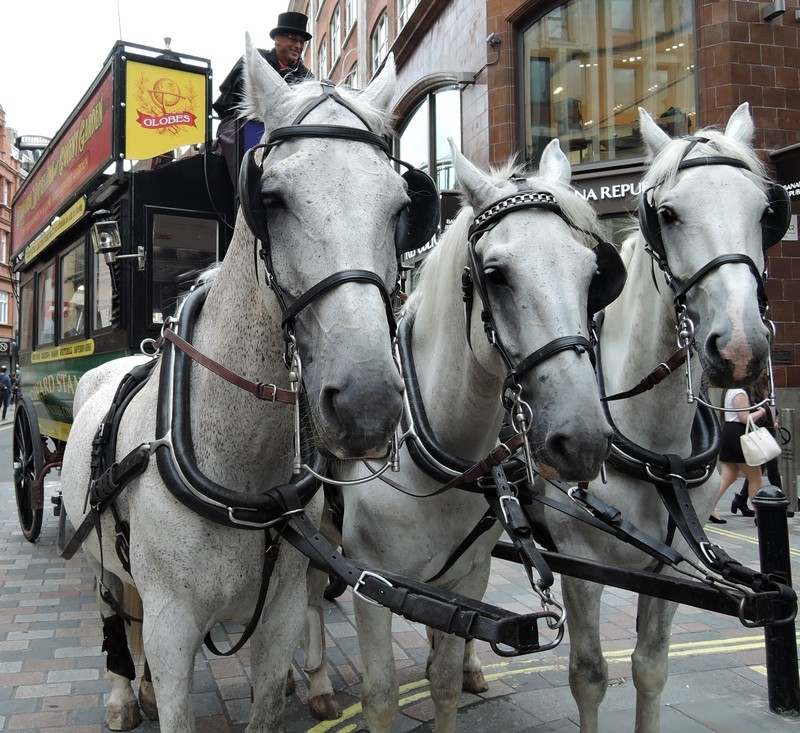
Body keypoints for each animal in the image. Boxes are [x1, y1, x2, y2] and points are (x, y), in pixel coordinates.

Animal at [60, 38, 418, 733]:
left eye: (401, 206)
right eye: (270, 198)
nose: (368, 403)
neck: (243, 467)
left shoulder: (278, 617)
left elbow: (271, 694)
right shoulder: (175, 627)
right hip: (97, 554)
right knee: (114, 610)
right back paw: (122, 695)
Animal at [302, 138, 623, 732]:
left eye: (593, 275)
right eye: (495, 273)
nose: (584, 439)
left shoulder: (467, 577)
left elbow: (445, 679)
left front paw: (457, 671)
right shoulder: (371, 583)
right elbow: (380, 696)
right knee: (309, 594)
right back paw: (313, 682)